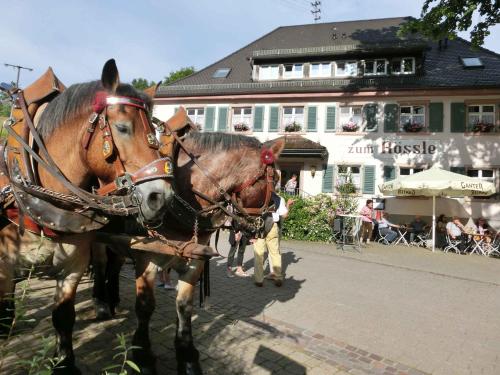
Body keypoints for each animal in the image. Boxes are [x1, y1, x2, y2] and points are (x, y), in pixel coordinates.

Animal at [0, 60, 174, 374]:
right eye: (122, 128)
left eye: (155, 136)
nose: (161, 197)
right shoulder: (4, 263)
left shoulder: (74, 262)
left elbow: (63, 316)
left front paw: (64, 363)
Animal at [91, 131, 284, 374]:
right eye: (274, 180)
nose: (268, 224)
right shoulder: (146, 260)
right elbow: (145, 307)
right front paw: (142, 356)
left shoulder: (193, 264)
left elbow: (184, 307)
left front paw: (187, 356)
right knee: (100, 266)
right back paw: (101, 303)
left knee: (113, 269)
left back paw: (113, 299)